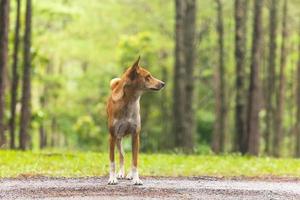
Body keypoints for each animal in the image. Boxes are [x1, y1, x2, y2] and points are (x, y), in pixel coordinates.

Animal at [106, 56, 165, 184]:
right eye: (148, 76)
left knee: (130, 156)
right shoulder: (112, 136)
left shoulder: (135, 135)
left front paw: (136, 178)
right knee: (122, 155)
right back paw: (121, 173)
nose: (163, 83)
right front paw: (112, 178)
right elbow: (112, 162)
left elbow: (135, 161)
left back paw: (129, 175)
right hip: (118, 139)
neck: (129, 102)